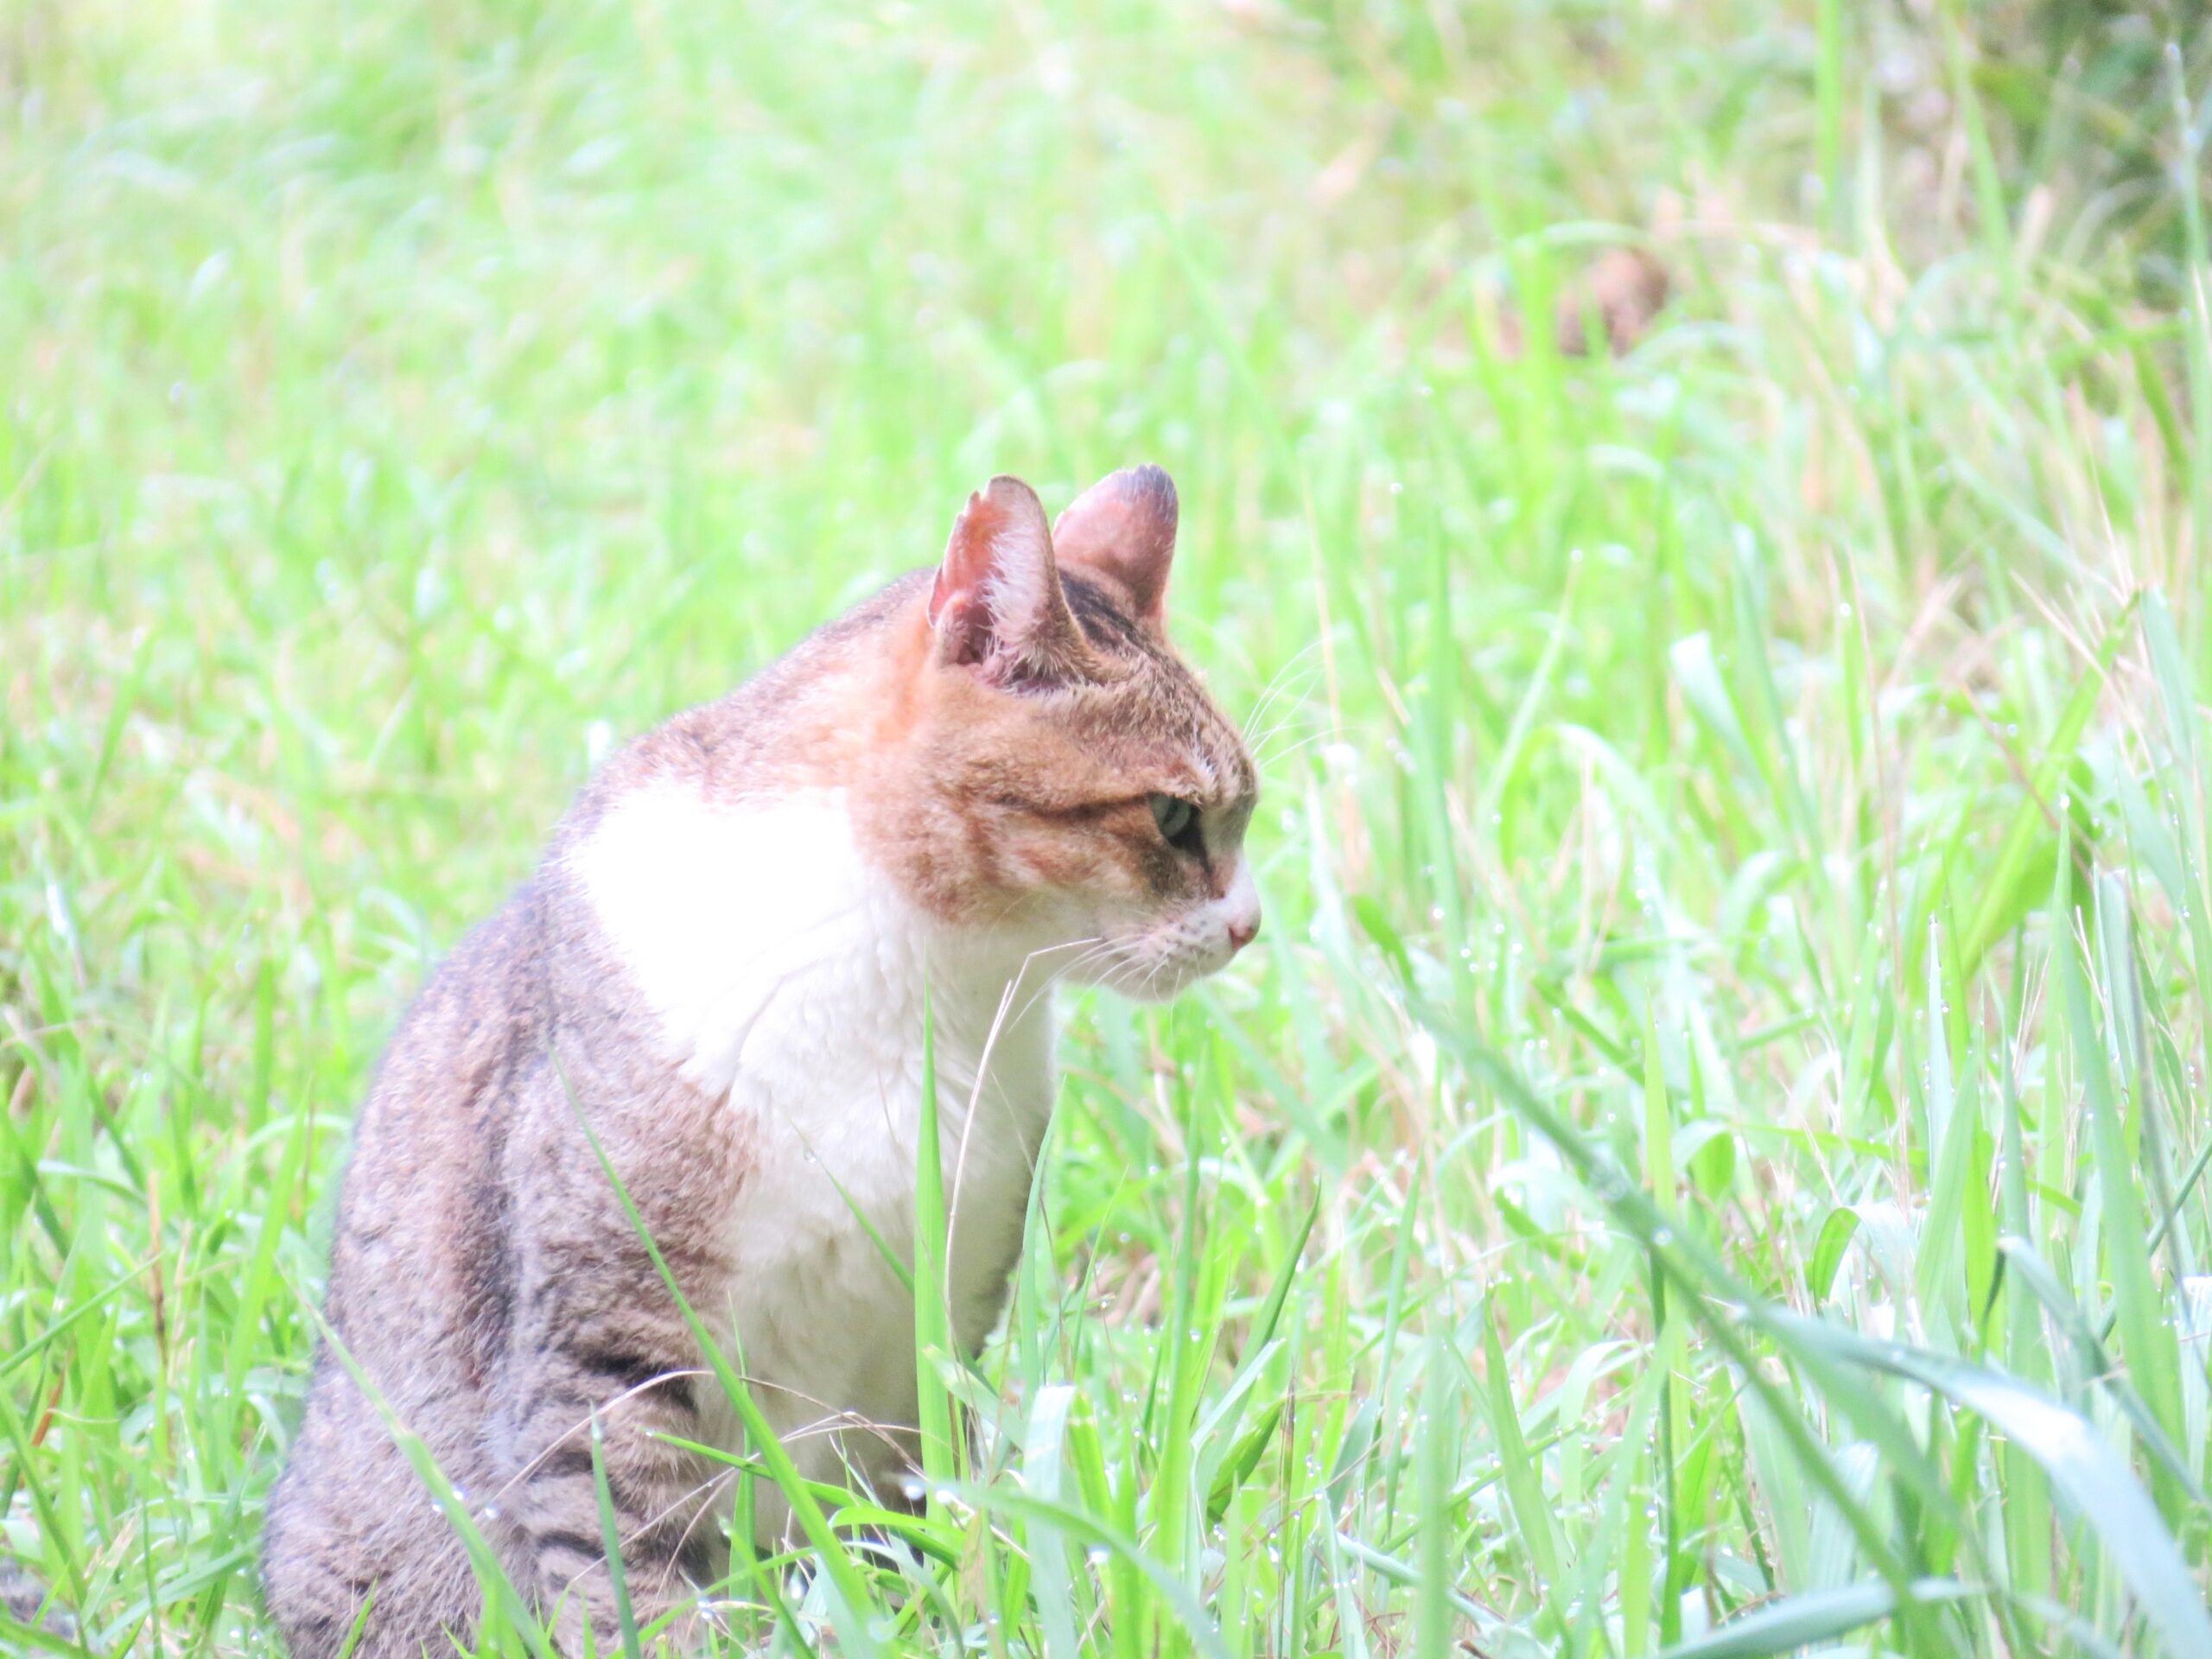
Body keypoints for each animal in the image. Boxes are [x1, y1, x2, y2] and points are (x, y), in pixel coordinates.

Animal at [261, 468, 1265, 1659]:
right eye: (1172, 814)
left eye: (1242, 813)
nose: (1250, 924)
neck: (923, 976)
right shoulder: (611, 1330)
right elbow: (621, 1551)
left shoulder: (940, 1321)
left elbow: (913, 1514)